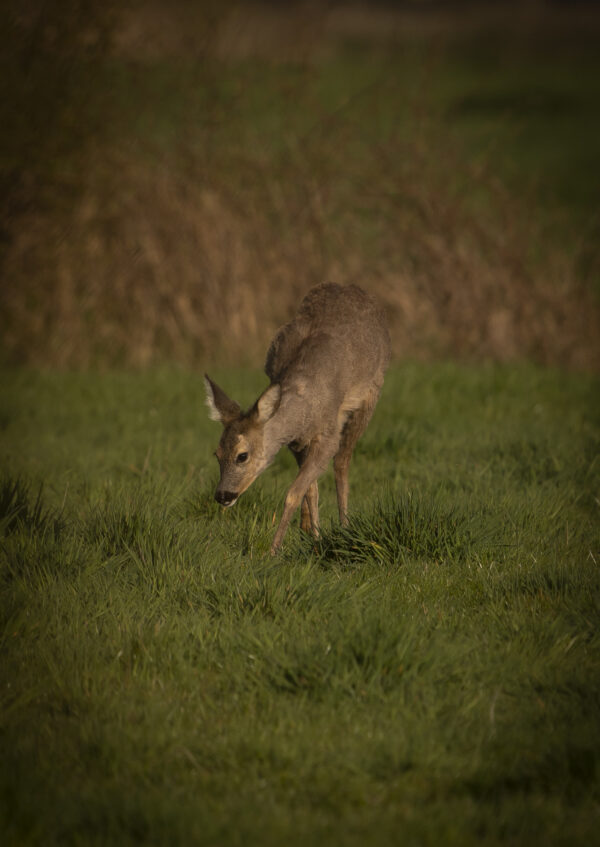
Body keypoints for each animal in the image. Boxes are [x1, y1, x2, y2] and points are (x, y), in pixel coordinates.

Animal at [205, 282, 394, 552]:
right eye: (217, 454)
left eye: (242, 455)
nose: (223, 495)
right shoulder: (296, 442)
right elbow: (310, 490)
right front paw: (315, 537)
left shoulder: (327, 435)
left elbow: (294, 492)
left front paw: (274, 550)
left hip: (371, 394)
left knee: (342, 462)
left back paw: (346, 526)